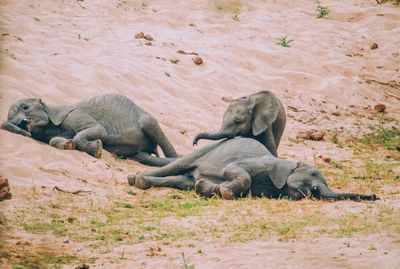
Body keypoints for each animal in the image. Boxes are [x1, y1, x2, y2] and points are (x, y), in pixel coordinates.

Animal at [1, 93, 177, 165]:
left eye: (25, 107)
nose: (22, 124)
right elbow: (54, 140)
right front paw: (68, 145)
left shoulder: (75, 115)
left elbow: (97, 130)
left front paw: (97, 149)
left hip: (146, 120)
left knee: (152, 126)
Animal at [128, 137, 378, 200]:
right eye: (314, 174)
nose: (375, 197)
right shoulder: (260, 164)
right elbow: (234, 171)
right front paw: (225, 191)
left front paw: (209, 189)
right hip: (204, 150)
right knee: (176, 166)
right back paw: (134, 179)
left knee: (182, 181)